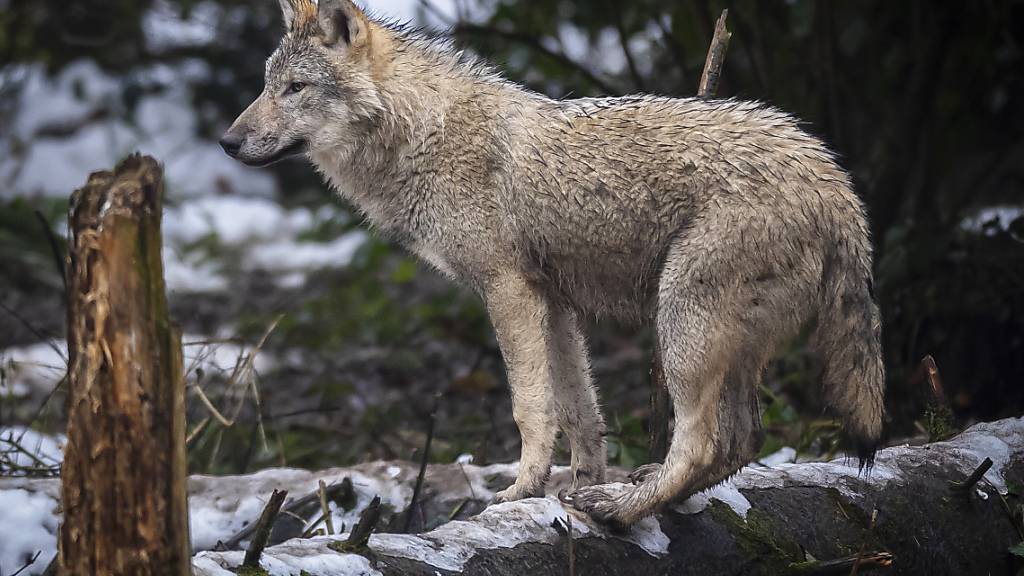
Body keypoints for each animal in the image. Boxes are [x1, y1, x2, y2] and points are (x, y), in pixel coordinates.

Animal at [224, 0, 888, 524]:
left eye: (295, 89)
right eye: (265, 84)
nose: (228, 142)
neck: (424, 135)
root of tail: (834, 181)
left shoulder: (508, 292)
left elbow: (530, 407)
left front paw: (522, 489)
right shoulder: (554, 303)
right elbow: (579, 410)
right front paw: (575, 484)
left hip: (680, 328)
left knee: (703, 443)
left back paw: (622, 510)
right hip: (726, 346)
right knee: (742, 441)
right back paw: (635, 496)